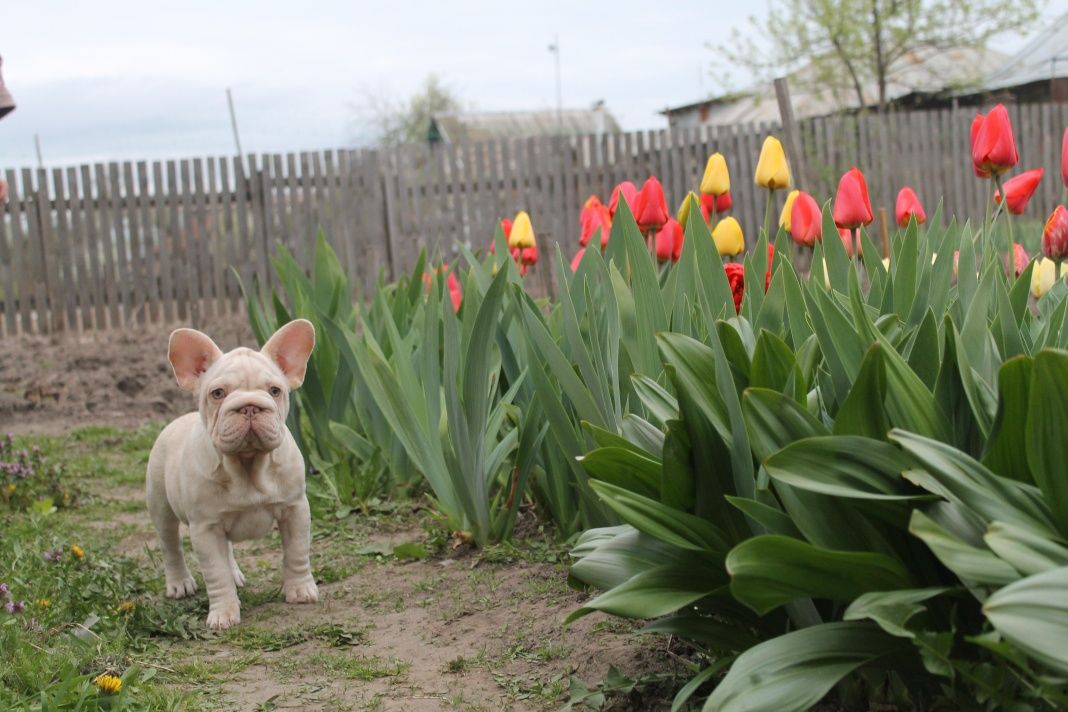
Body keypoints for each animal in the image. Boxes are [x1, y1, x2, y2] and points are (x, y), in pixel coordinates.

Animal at [148, 322, 318, 627]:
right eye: (218, 393)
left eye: (275, 390)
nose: (249, 406)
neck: (247, 465)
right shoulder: (204, 527)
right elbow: (216, 573)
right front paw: (223, 613)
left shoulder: (295, 510)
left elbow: (297, 552)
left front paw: (300, 589)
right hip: (161, 507)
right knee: (171, 546)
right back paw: (179, 583)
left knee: (226, 549)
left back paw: (236, 574)